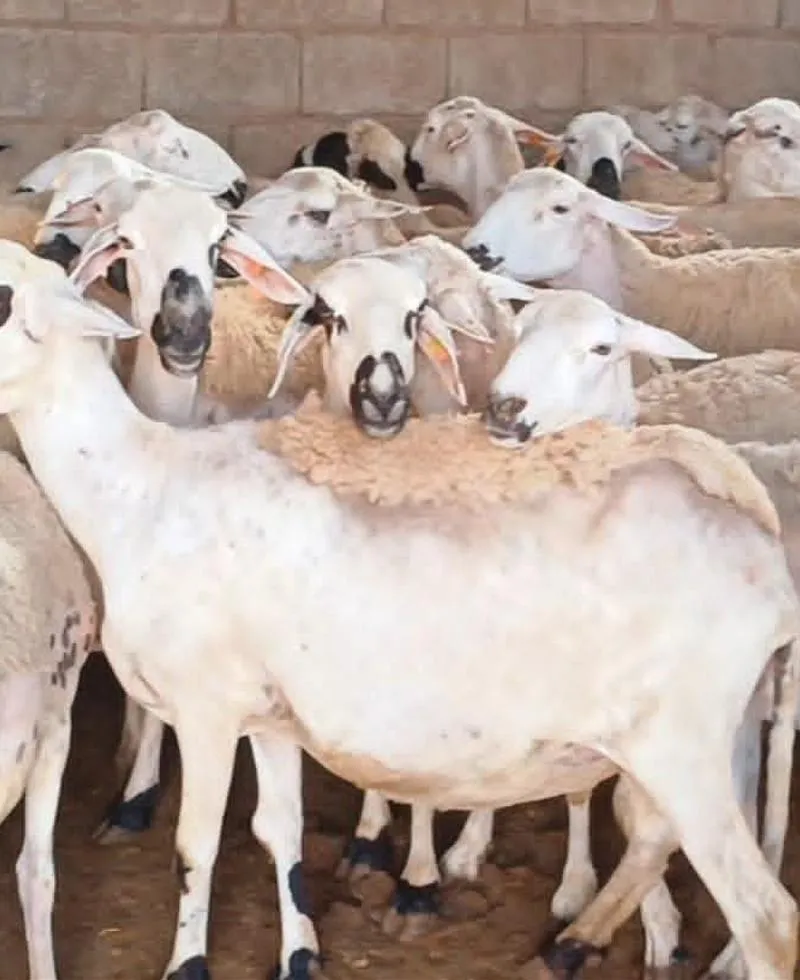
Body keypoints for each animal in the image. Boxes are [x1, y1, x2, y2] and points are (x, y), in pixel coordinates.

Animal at [2, 250, 799, 980]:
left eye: (4, 297)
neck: (137, 488)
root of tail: (759, 537)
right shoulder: (268, 713)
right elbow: (278, 831)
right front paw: (300, 955)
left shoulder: (206, 709)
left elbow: (194, 848)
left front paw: (187, 965)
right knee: (654, 838)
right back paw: (572, 945)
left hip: (684, 744)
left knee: (768, 921)